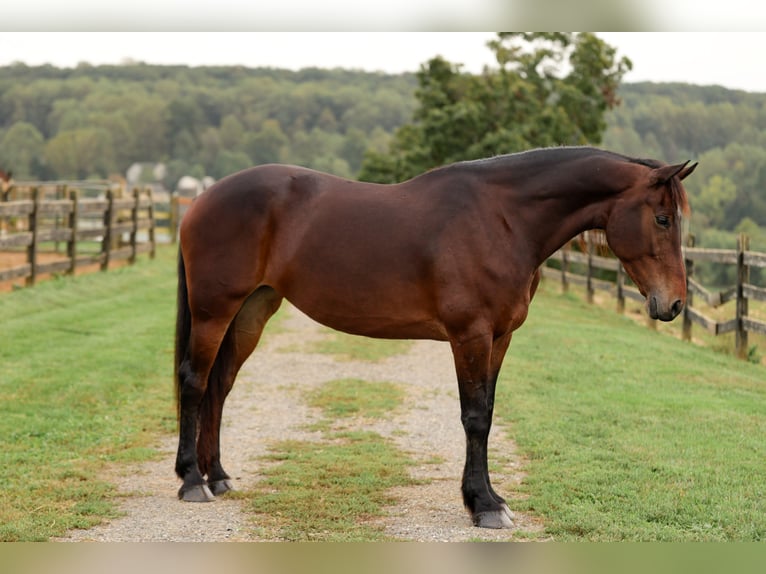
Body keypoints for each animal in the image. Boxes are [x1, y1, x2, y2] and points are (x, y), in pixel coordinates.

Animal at [174, 146, 697, 529]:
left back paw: (218, 476)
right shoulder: (471, 336)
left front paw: (488, 497)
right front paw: (484, 506)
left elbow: (488, 413)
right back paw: (192, 481)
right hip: (214, 311)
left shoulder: (500, 338)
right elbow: (475, 418)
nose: (673, 304)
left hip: (251, 311)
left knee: (219, 387)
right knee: (194, 383)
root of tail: (201, 199)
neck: (502, 219)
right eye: (663, 219)